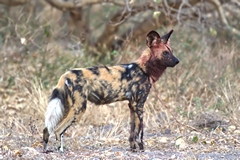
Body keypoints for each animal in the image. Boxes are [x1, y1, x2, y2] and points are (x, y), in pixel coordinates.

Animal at [42, 29, 178, 152]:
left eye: (171, 51)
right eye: (165, 53)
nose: (177, 61)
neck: (144, 69)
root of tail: (66, 75)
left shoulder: (132, 105)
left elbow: (132, 132)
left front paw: (133, 148)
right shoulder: (139, 105)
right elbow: (140, 132)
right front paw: (141, 148)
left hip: (67, 107)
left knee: (47, 129)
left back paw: (45, 149)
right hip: (79, 109)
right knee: (58, 131)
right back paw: (60, 150)